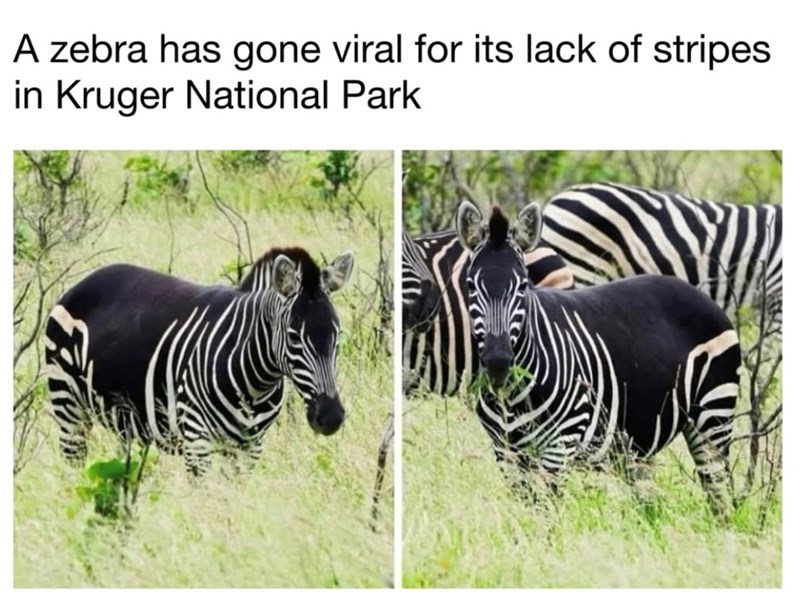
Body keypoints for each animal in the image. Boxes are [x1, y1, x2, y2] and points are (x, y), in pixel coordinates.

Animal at [45, 246, 355, 476]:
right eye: (293, 337)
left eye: (337, 336)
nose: (330, 417)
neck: (255, 382)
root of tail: (88, 279)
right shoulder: (197, 438)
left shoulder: (250, 446)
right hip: (69, 406)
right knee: (74, 465)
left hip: (124, 420)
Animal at [456, 201, 742, 516]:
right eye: (470, 286)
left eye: (522, 286)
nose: (498, 362)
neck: (511, 396)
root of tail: (699, 294)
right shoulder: (506, 452)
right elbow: (526, 512)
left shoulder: (560, 444)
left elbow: (547, 514)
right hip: (642, 443)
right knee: (652, 505)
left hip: (713, 415)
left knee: (718, 489)